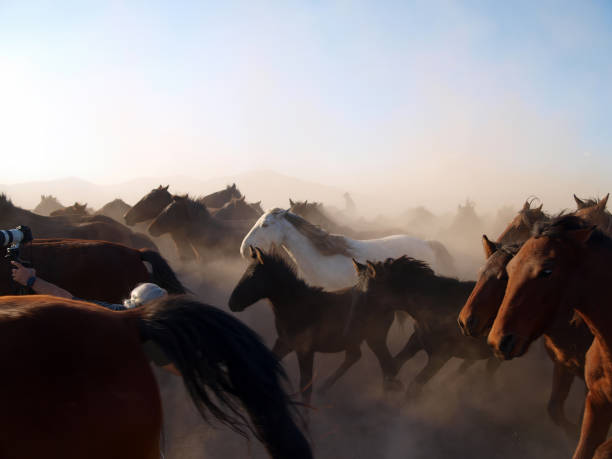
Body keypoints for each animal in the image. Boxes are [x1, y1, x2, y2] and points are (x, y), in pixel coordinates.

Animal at [358, 256, 502, 400]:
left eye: (368, 293)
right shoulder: (417, 340)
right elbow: (394, 366)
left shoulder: (441, 355)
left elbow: (414, 387)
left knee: (488, 371)